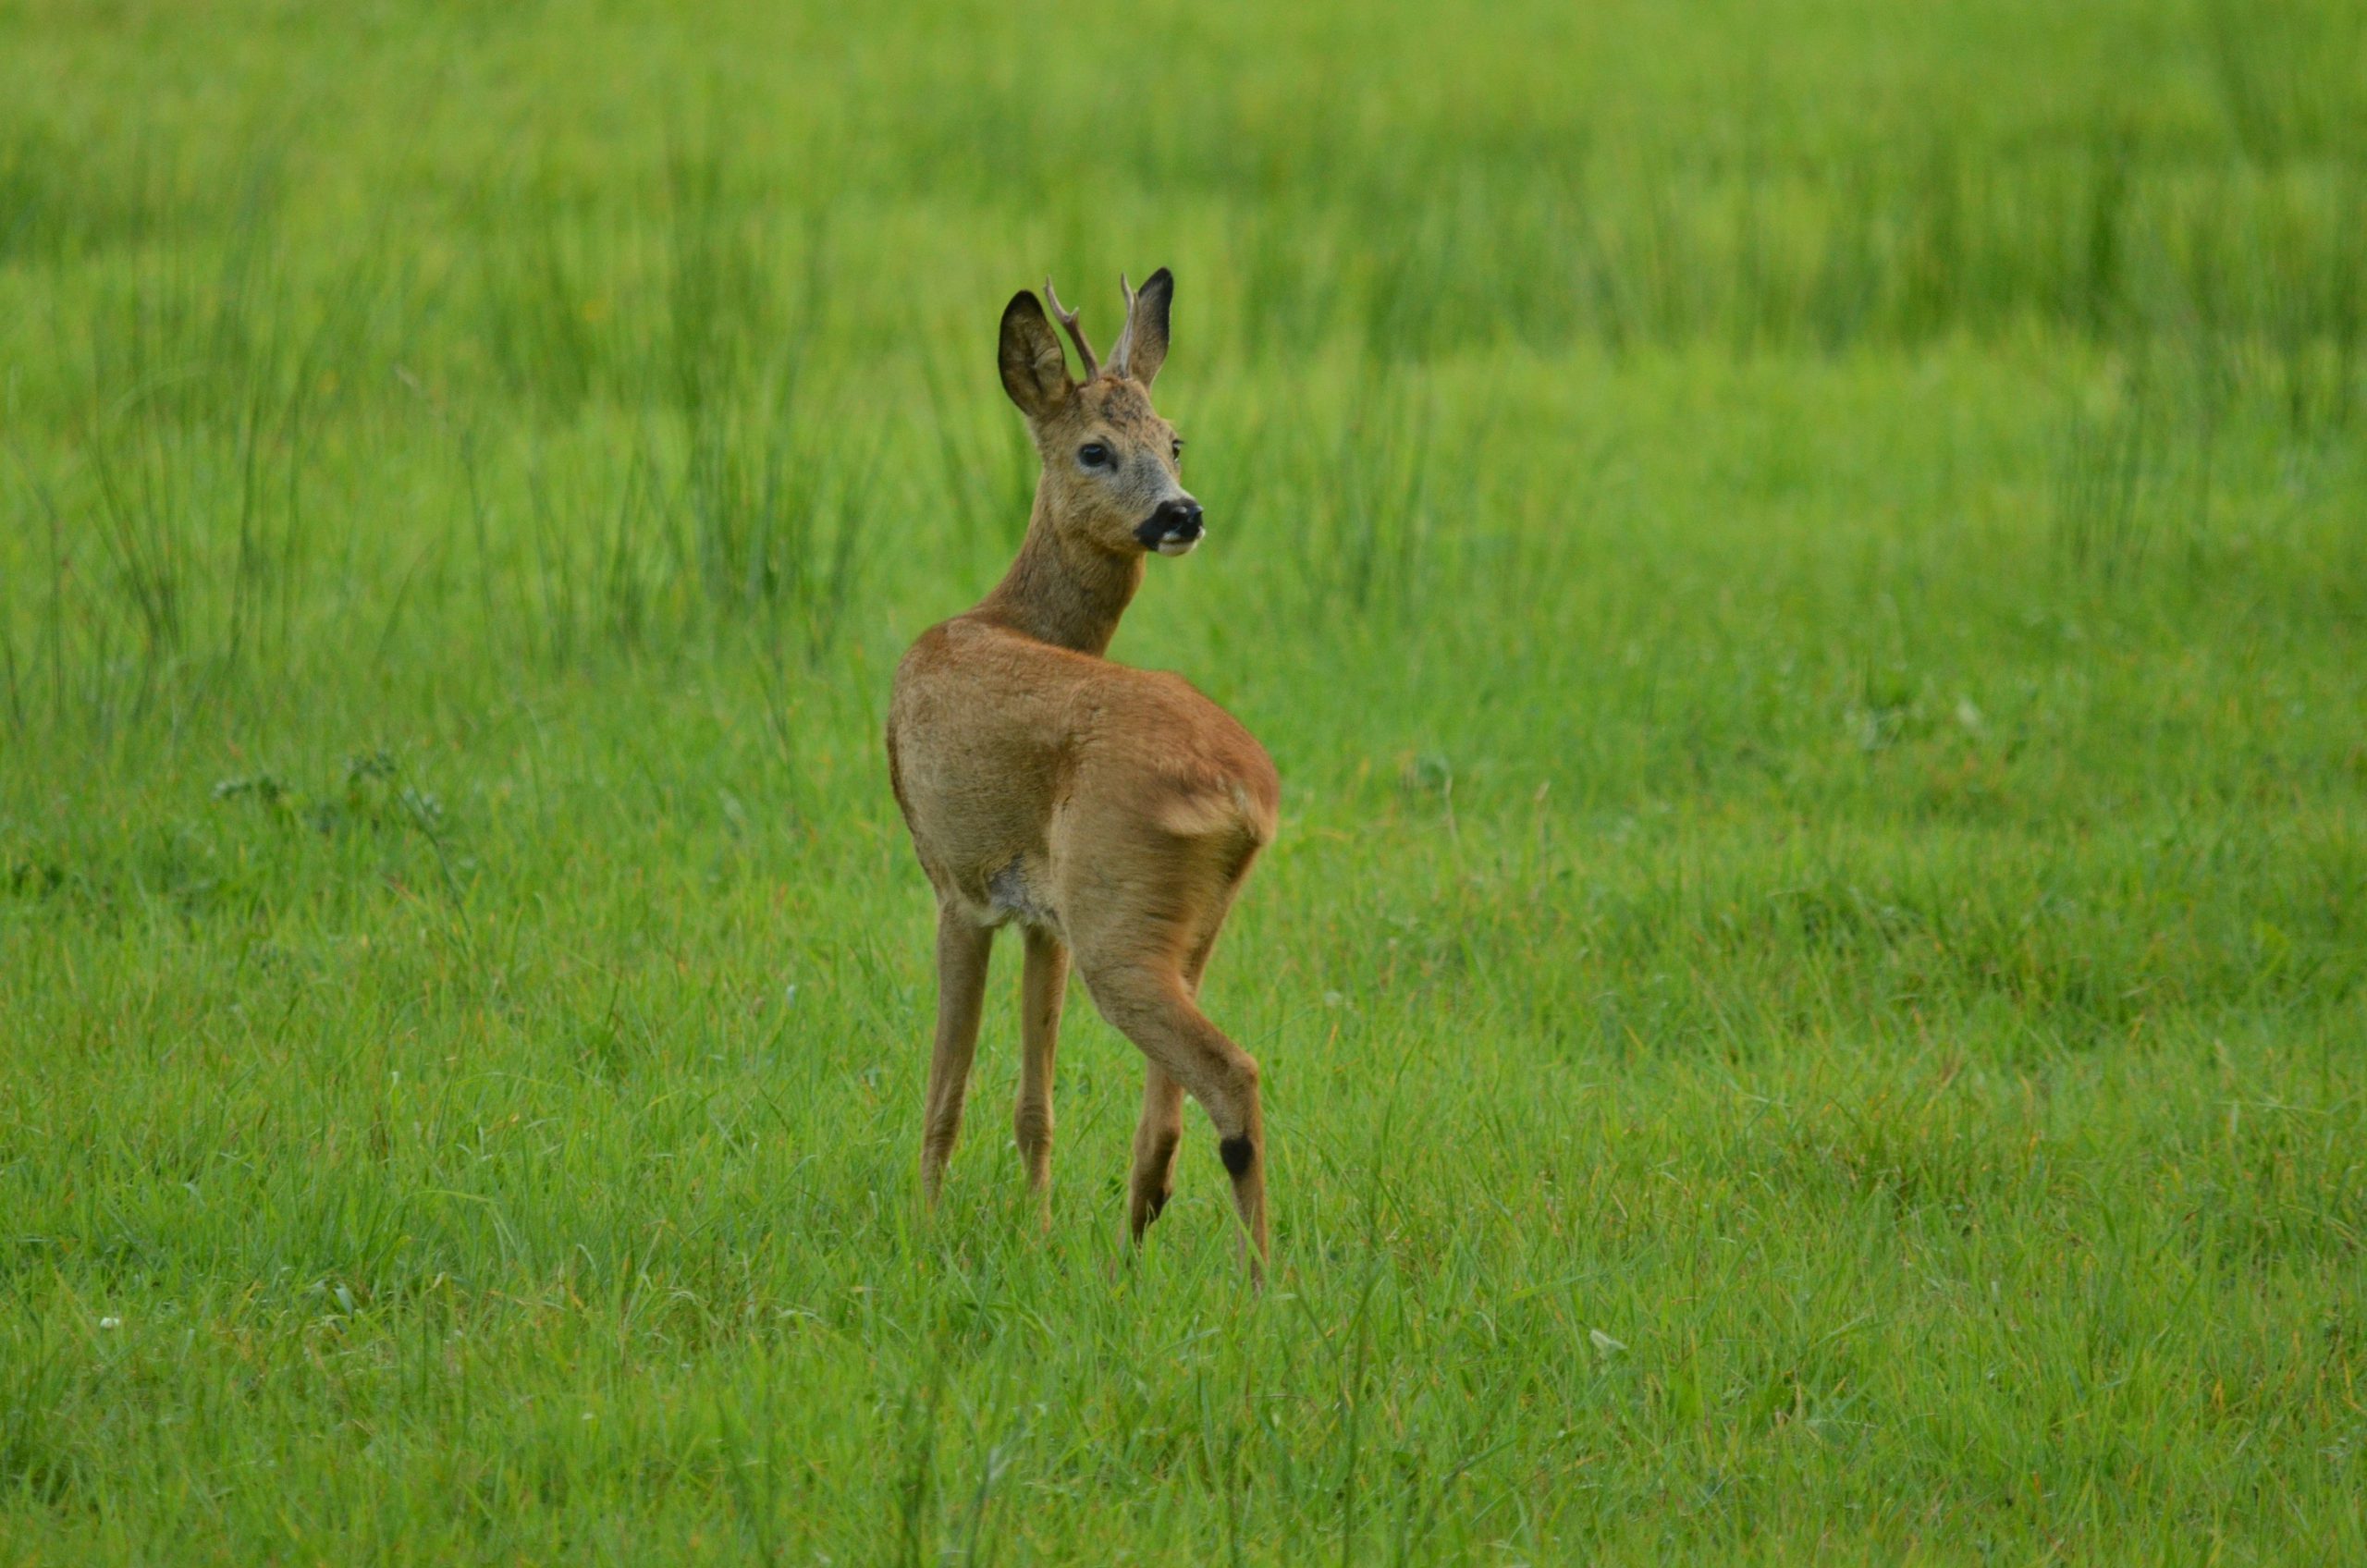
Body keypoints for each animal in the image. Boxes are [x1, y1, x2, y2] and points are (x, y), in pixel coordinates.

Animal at [889, 273, 1278, 1279]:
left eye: (1173, 441)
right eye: (1095, 448)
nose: (1182, 513)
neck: (1005, 614)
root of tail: (1248, 798)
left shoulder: (957, 883)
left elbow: (944, 1092)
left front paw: (924, 1232)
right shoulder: (1042, 918)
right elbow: (1036, 1103)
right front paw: (1037, 1228)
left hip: (1116, 913)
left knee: (1230, 1074)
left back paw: (1263, 1280)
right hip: (1178, 921)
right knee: (1166, 1114)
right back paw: (1133, 1242)